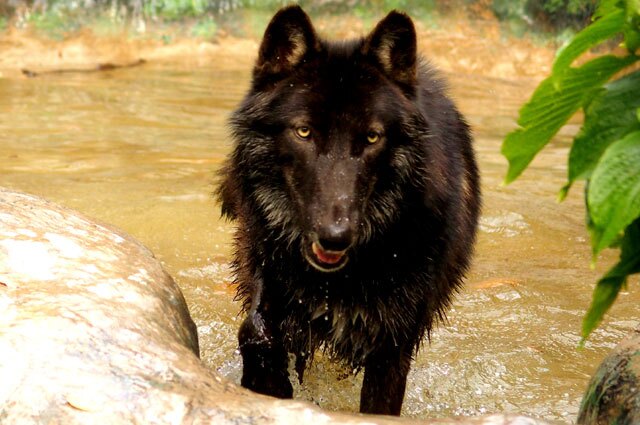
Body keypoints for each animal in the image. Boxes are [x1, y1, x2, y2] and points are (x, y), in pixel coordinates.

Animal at [216, 4, 480, 414]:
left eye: (372, 137)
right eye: (304, 132)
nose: (335, 236)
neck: (342, 276)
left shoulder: (393, 344)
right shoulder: (268, 273)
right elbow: (254, 330)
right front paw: (269, 384)